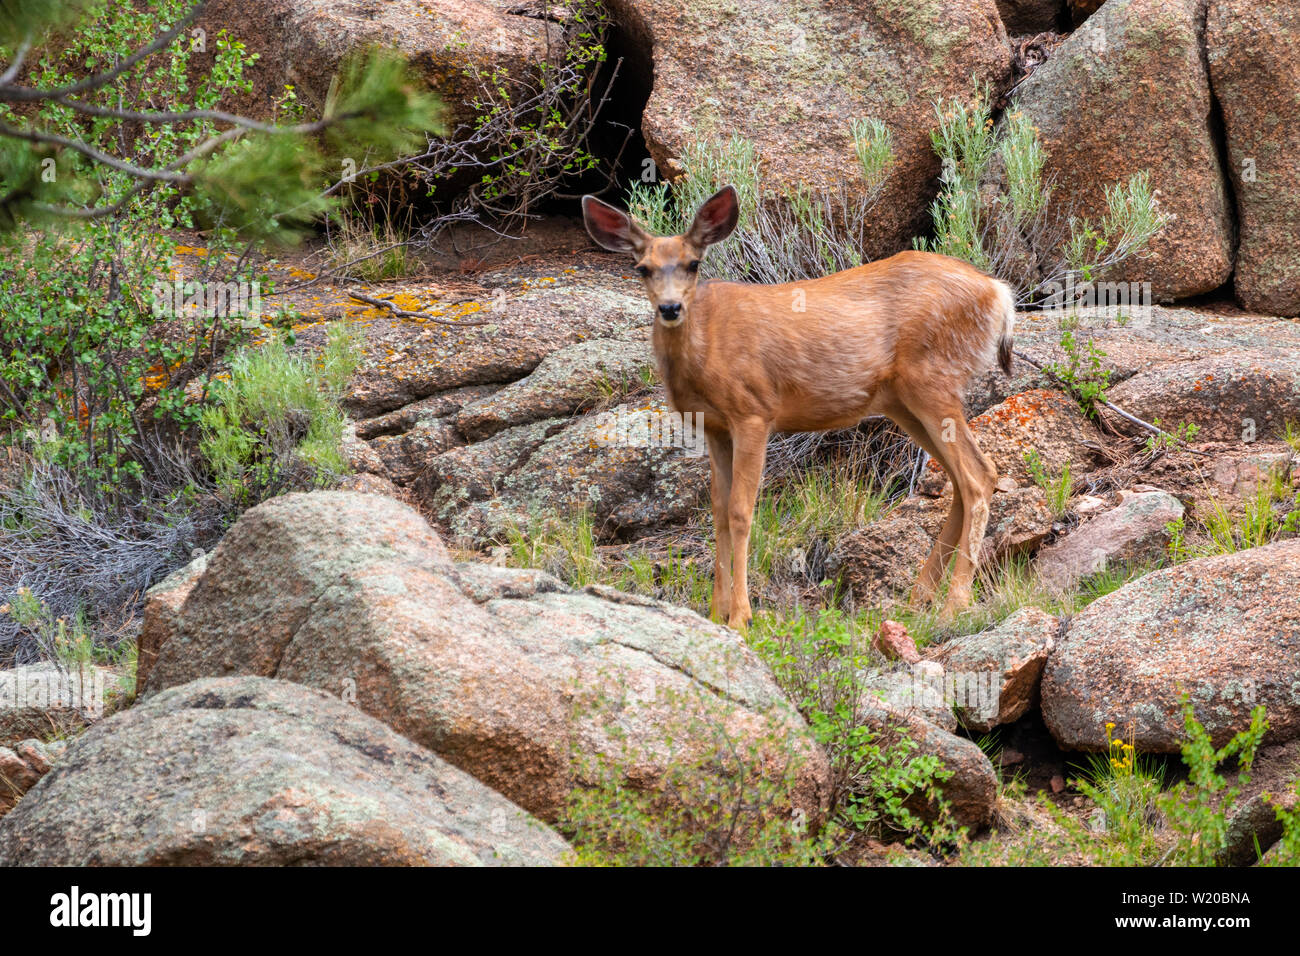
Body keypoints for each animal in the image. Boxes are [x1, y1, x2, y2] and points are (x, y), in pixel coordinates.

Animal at [582, 185, 1015, 630]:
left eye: (692, 263)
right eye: (642, 268)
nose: (669, 308)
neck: (705, 348)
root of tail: (999, 292)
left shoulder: (753, 411)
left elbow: (740, 511)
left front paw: (740, 617)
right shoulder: (713, 426)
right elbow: (718, 512)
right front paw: (716, 612)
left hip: (932, 382)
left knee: (979, 475)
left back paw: (953, 605)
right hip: (904, 403)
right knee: (960, 480)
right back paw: (917, 599)